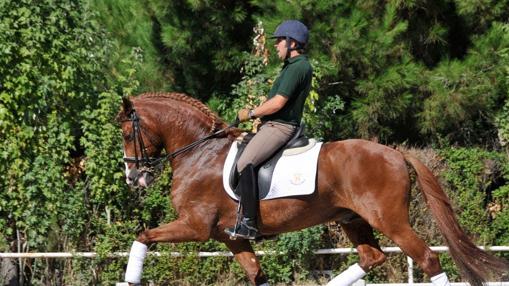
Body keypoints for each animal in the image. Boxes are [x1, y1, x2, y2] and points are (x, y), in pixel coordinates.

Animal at [116, 92, 508, 284]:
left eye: (125, 132)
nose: (133, 178)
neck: (199, 152)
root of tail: (395, 152)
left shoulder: (194, 227)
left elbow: (142, 236)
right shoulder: (229, 236)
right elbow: (256, 274)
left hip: (392, 221)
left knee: (427, 259)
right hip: (353, 220)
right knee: (372, 257)